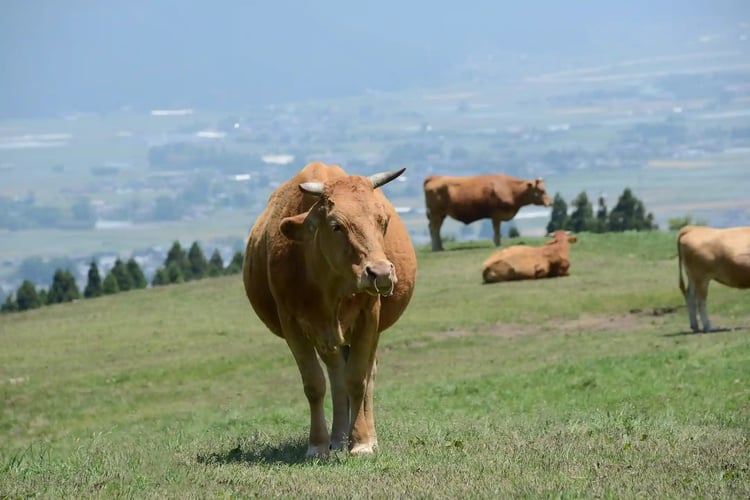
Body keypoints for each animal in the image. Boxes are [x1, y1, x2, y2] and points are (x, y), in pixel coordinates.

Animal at [243, 162, 417, 457]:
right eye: (337, 226)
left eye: (382, 221)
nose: (380, 272)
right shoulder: (293, 325)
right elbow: (315, 384)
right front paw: (318, 444)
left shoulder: (369, 317)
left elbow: (357, 379)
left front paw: (361, 442)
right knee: (336, 376)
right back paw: (337, 438)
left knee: (365, 374)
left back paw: (363, 436)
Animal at [423, 174, 553, 251]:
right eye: (541, 190)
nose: (551, 202)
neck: (511, 189)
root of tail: (434, 177)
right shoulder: (496, 215)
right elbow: (497, 231)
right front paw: (498, 244)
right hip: (436, 213)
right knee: (434, 229)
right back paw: (436, 249)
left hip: (441, 214)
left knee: (436, 229)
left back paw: (440, 247)